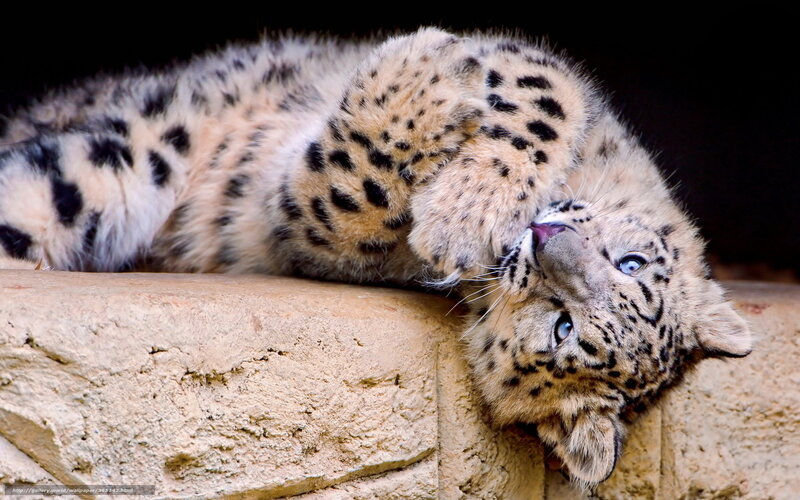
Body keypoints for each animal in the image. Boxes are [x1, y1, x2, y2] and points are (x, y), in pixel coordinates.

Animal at [0, 27, 752, 486]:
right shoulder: (544, 73)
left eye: (562, 324)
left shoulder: (304, 225)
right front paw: (463, 174)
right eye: (630, 264)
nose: (545, 240)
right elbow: (538, 94)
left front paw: (446, 201)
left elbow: (344, 188)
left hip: (106, 170)